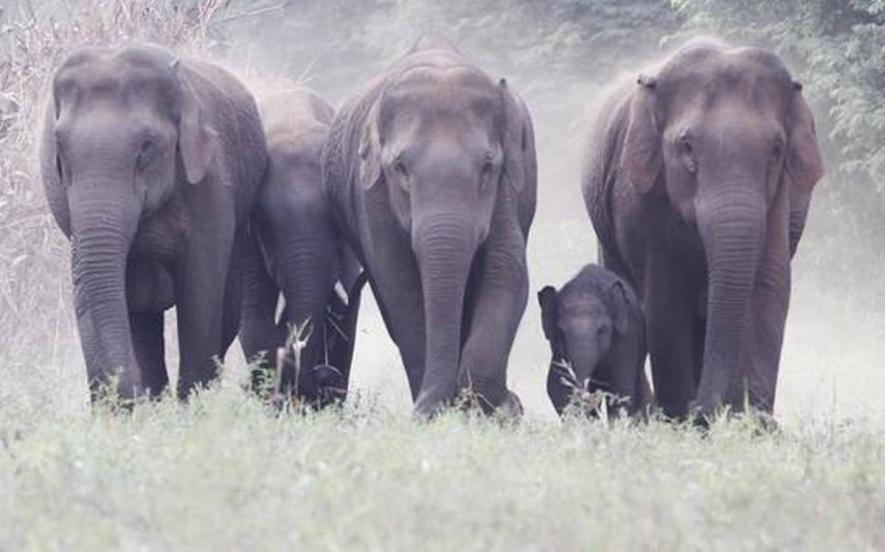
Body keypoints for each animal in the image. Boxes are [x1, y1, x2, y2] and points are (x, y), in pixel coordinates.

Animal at [40, 44, 267, 401]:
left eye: (146, 147)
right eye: (60, 145)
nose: (124, 393)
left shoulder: (210, 183)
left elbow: (201, 291)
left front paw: (193, 406)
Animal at [323, 34, 537, 418]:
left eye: (487, 166)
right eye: (400, 168)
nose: (424, 410)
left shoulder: (509, 187)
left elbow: (506, 271)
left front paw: (497, 410)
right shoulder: (372, 193)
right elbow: (400, 285)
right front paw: (438, 411)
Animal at [538, 264, 652, 417]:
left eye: (601, 330)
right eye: (560, 333)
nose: (588, 397)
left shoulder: (626, 337)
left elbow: (621, 387)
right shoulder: (557, 350)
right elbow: (556, 387)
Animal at [583, 38, 824, 420]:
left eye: (776, 149)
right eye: (686, 146)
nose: (704, 408)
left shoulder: (778, 201)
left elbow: (769, 287)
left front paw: (756, 423)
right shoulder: (642, 199)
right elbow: (665, 301)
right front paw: (684, 420)